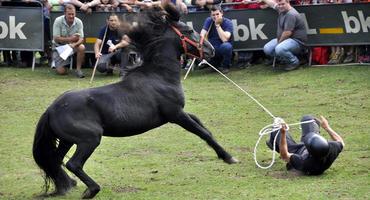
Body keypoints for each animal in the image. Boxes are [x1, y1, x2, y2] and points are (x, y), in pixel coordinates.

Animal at [33, 4, 238, 198]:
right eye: (188, 31)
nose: (211, 50)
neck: (159, 76)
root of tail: (51, 109)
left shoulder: (179, 113)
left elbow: (202, 125)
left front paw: (224, 155)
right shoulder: (176, 115)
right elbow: (203, 133)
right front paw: (229, 157)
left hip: (68, 140)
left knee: (55, 161)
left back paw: (69, 184)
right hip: (89, 139)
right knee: (73, 164)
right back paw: (91, 190)